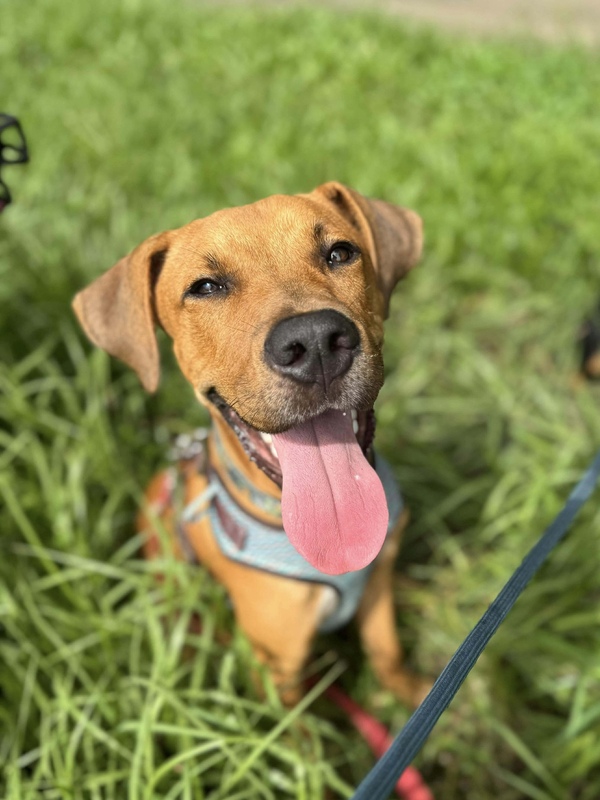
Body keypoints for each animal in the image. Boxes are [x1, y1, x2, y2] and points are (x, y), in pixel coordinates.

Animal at [73, 181, 430, 707]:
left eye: (341, 253)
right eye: (205, 287)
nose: (315, 341)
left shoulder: (378, 586)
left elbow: (387, 654)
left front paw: (417, 694)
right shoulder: (277, 668)